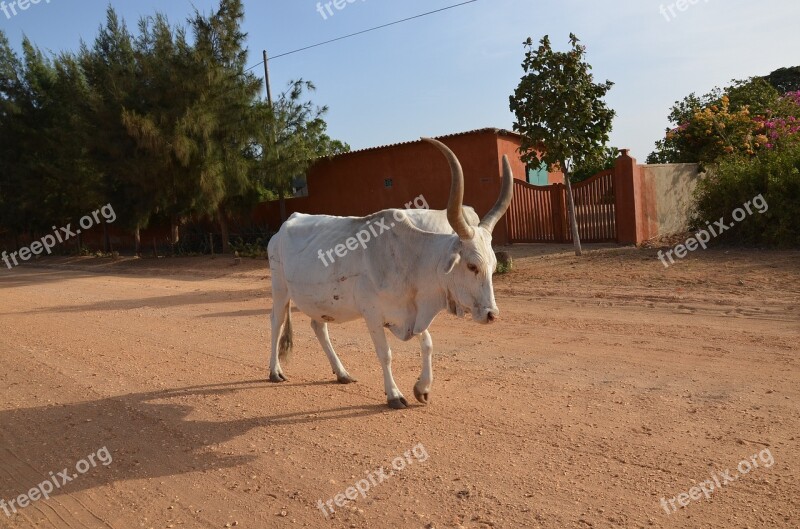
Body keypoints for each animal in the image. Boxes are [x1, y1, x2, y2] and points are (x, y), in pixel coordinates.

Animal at [268, 137, 512, 408]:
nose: (492, 314)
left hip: (320, 301)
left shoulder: (413, 312)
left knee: (319, 327)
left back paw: (342, 373)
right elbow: (385, 354)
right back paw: (275, 371)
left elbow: (427, 344)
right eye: (472, 266)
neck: (410, 259)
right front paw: (394, 394)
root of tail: (287, 222)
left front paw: (422, 388)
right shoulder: (372, 314)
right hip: (280, 289)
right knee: (277, 322)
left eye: (493, 266)